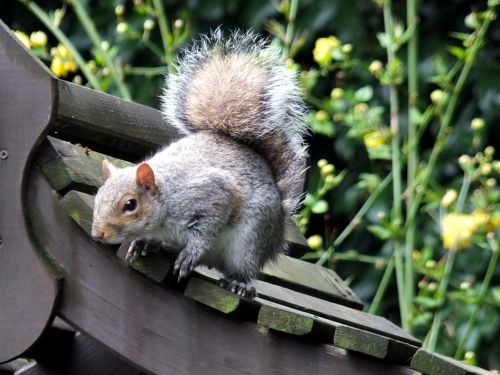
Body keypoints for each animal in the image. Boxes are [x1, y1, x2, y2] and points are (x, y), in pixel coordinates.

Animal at [91, 30, 306, 300]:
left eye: (130, 205)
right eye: (98, 198)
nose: (97, 233)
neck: (167, 195)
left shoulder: (209, 195)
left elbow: (207, 229)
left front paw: (191, 252)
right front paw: (142, 242)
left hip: (250, 241)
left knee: (242, 267)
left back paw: (238, 283)